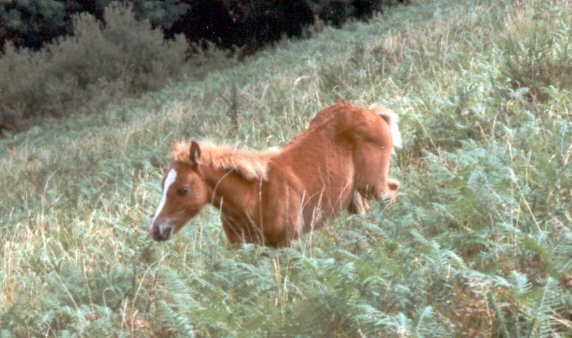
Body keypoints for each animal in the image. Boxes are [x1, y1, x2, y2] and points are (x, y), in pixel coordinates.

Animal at [150, 101, 404, 247]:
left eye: (183, 189)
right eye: (162, 186)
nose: (156, 229)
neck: (253, 196)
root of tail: (371, 112)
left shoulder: (288, 243)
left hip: (373, 185)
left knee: (392, 193)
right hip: (355, 196)